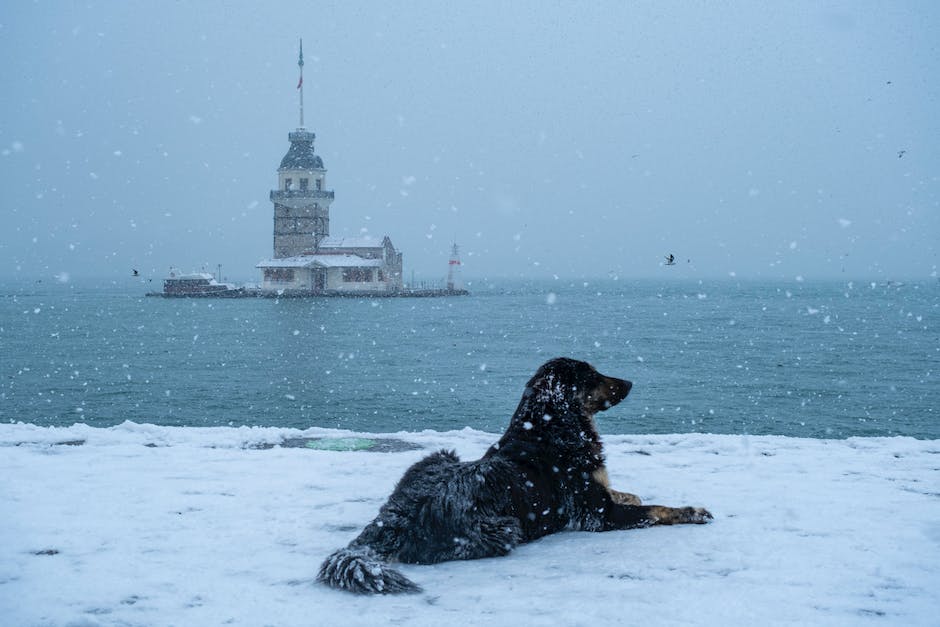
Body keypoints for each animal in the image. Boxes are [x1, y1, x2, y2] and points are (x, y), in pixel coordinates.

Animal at [318, 358, 712, 592]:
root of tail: (393, 519)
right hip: (504, 527)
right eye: (592, 376)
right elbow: (656, 509)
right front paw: (691, 511)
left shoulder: (600, 496)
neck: (548, 426)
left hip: (438, 456)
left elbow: (628, 493)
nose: (629, 382)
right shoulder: (597, 515)